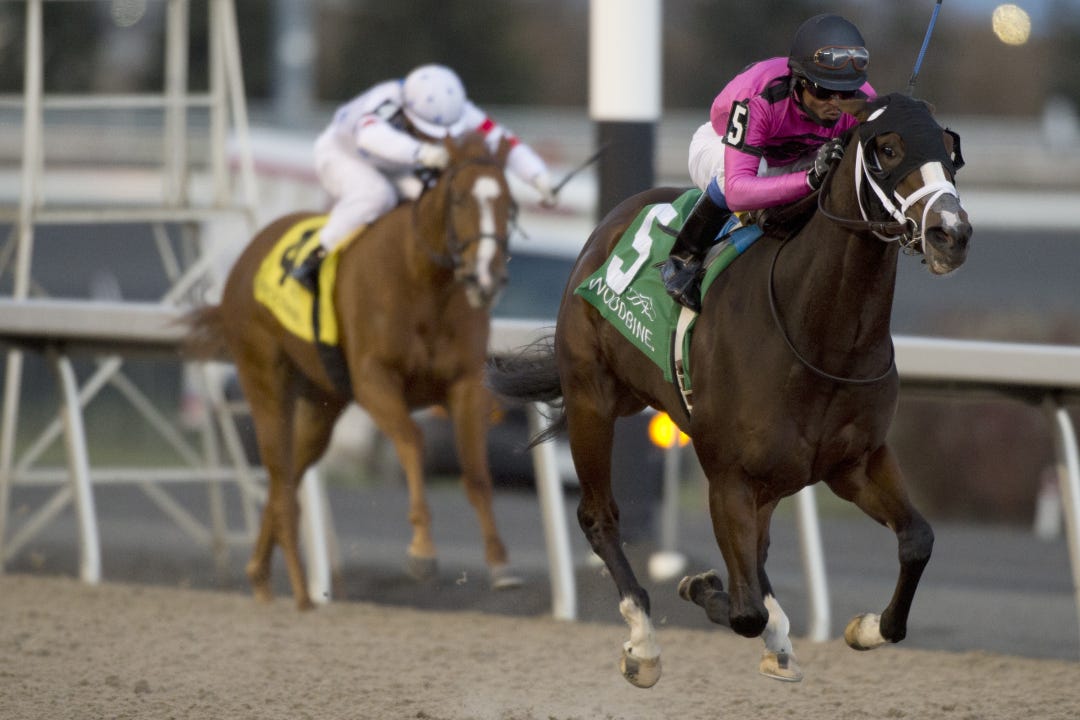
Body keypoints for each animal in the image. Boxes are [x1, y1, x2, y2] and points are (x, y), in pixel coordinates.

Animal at [185, 131, 521, 610]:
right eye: (458, 198)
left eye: (509, 202)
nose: (487, 277)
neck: (422, 280)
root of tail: (248, 254)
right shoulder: (374, 381)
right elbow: (413, 441)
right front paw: (422, 552)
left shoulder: (466, 384)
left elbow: (476, 474)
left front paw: (499, 563)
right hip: (264, 380)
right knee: (279, 477)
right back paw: (300, 593)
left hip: (320, 404)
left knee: (288, 475)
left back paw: (261, 576)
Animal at [487, 93, 972, 685]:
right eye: (888, 148)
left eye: (949, 148)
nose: (951, 233)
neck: (818, 336)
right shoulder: (728, 476)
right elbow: (743, 611)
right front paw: (702, 587)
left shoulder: (855, 462)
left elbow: (917, 540)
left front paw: (866, 628)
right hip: (590, 398)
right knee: (599, 517)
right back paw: (644, 640)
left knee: (759, 553)